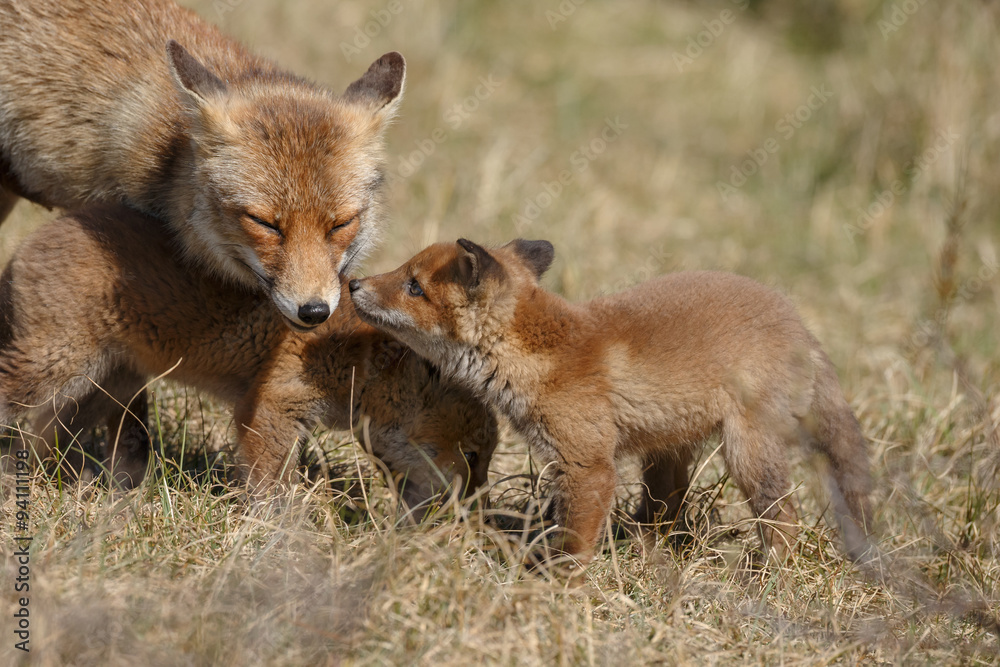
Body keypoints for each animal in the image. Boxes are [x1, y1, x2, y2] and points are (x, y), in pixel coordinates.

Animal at [0, 207, 497, 508]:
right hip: (47, 372)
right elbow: (274, 489)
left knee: (41, 440)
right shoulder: (268, 409)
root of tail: (29, 241)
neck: (355, 358)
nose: (477, 509)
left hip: (99, 389)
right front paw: (286, 536)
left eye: (486, 458)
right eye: (472, 456)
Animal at [348, 238, 874, 565]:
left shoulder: (588, 466)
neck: (543, 356)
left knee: (785, 519)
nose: (352, 284)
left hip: (747, 453)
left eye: (414, 286)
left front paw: (556, 589)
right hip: (666, 454)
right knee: (667, 511)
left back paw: (766, 576)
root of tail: (798, 322)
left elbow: (573, 543)